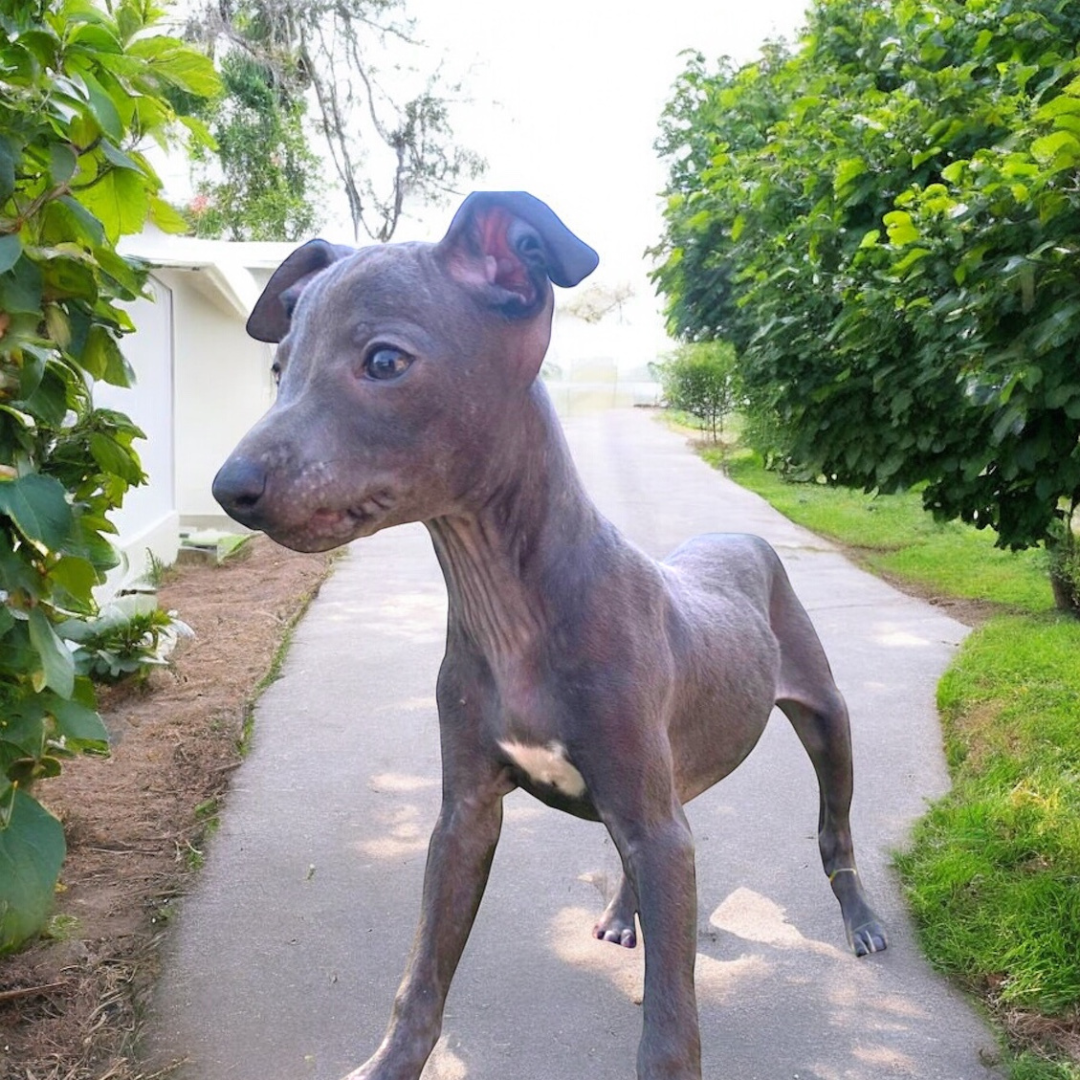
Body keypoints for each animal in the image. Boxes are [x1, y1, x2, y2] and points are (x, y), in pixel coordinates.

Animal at [212, 192, 885, 1080]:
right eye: (279, 368)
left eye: (385, 361)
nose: (228, 488)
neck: (513, 609)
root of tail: (739, 536)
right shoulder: (464, 814)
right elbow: (421, 976)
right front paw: (389, 1063)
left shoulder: (656, 820)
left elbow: (670, 1029)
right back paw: (628, 913)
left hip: (826, 718)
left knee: (833, 831)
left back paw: (861, 920)